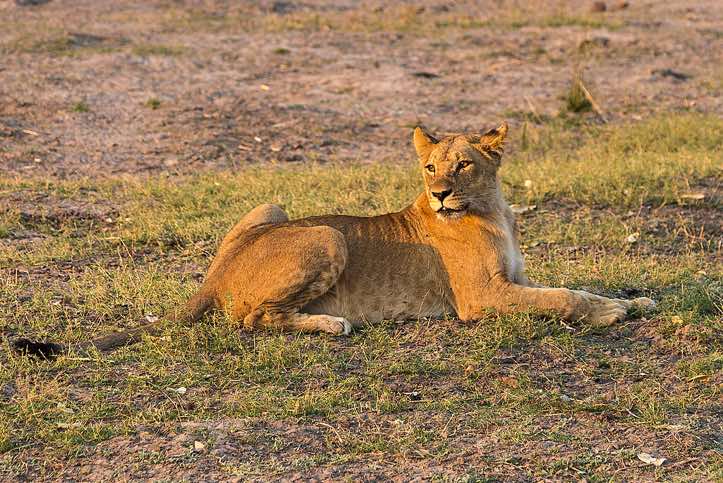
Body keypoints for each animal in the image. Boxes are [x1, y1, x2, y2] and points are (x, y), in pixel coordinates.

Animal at [13, 122, 654, 357]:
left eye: (464, 165)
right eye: (430, 168)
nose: (441, 195)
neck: (492, 209)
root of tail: (213, 275)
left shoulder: (515, 279)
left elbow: (570, 286)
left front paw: (637, 300)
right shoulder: (481, 299)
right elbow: (563, 297)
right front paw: (611, 314)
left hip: (273, 206)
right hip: (325, 235)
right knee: (253, 320)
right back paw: (332, 324)